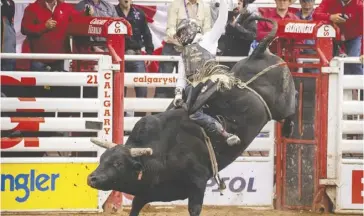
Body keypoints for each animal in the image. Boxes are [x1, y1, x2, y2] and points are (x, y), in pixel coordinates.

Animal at [87, 17, 296, 216]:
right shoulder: (145, 193)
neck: (161, 151)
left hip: (281, 104)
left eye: (117, 163)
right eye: (102, 158)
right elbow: (135, 207)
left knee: (291, 109)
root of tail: (257, 53)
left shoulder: (198, 183)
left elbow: (194, 208)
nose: (92, 178)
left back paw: (288, 129)